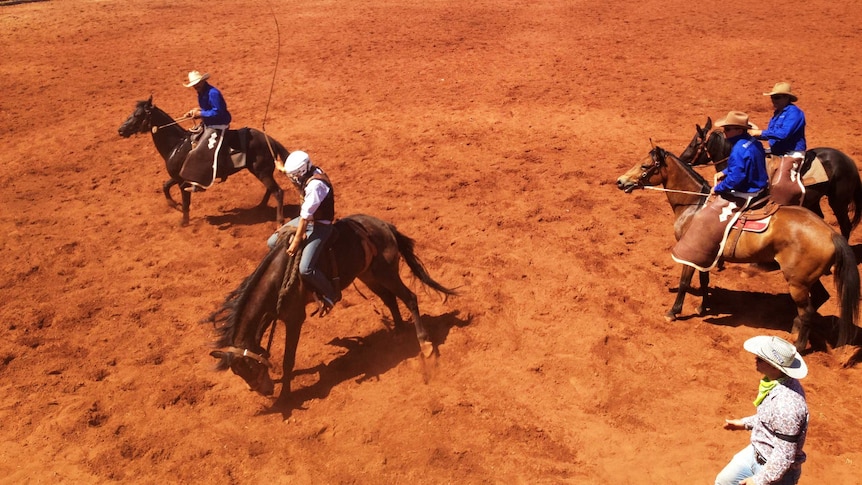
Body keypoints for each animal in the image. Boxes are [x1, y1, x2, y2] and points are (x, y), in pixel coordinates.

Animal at [117, 97, 290, 228]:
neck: (177, 145)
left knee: (278, 192)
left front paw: (184, 221)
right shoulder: (178, 177)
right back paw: (260, 207)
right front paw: (174, 205)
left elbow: (185, 201)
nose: (120, 130)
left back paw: (279, 221)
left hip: (261, 172)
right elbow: (165, 186)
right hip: (262, 172)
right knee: (270, 190)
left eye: (138, 114)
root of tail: (270, 140)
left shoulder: (184, 182)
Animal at [616, 145, 860, 352]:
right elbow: (704, 281)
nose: (620, 181)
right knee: (819, 298)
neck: (694, 206)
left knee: (808, 311)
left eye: (645, 166)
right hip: (803, 278)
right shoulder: (705, 256)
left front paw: (673, 312)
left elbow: (685, 283)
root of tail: (831, 233)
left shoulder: (691, 255)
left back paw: (798, 346)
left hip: (798, 282)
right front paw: (702, 307)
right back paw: (794, 326)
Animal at [680, 117, 862, 238]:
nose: (682, 158)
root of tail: (850, 162)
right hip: (814, 200)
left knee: (845, 226)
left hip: (838, 202)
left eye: (695, 144)